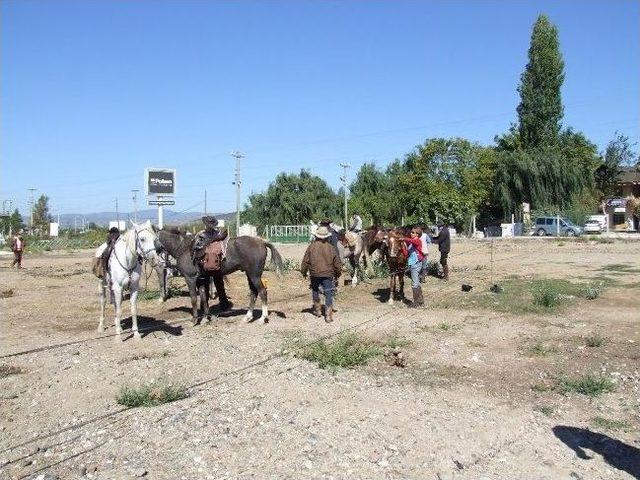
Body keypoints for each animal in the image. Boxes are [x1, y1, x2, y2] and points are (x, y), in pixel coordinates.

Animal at [156, 230, 284, 326]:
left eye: (152, 239)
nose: (155, 252)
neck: (183, 248)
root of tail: (262, 242)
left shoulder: (190, 279)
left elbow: (193, 298)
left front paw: (194, 320)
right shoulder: (201, 280)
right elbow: (204, 297)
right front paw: (205, 319)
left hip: (255, 275)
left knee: (262, 292)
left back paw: (263, 318)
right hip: (250, 275)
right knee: (253, 292)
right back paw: (247, 317)